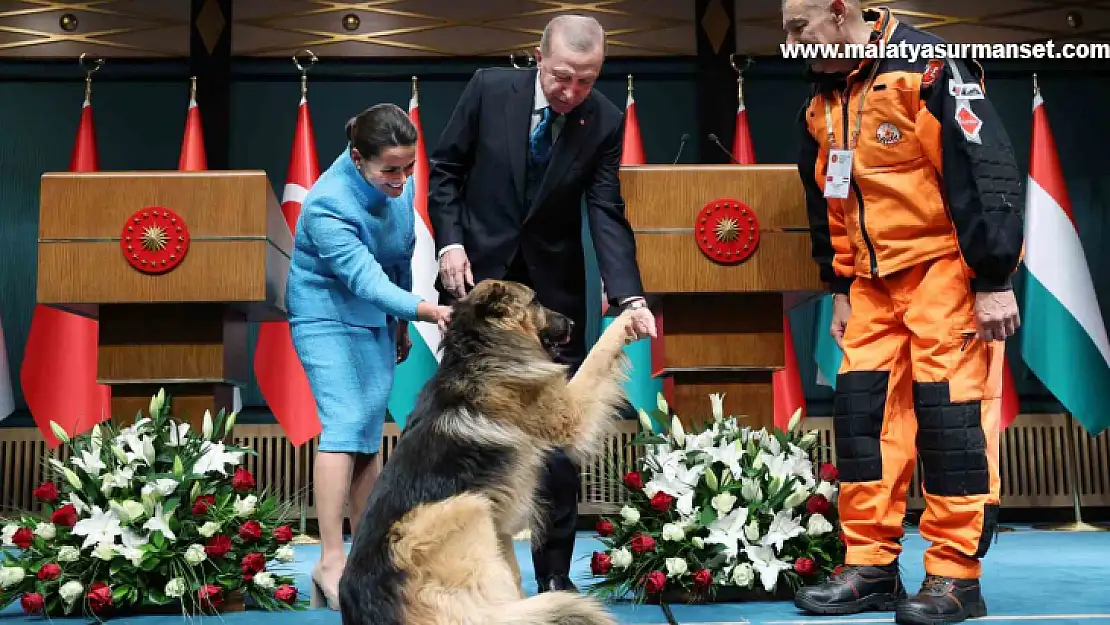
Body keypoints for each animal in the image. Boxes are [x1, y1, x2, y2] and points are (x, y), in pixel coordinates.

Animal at [335, 279, 634, 625]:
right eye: (536, 301)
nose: (572, 323)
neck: (479, 350)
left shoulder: (500, 530)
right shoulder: (570, 412)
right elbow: (598, 355)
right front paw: (628, 319)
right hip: (466, 506)